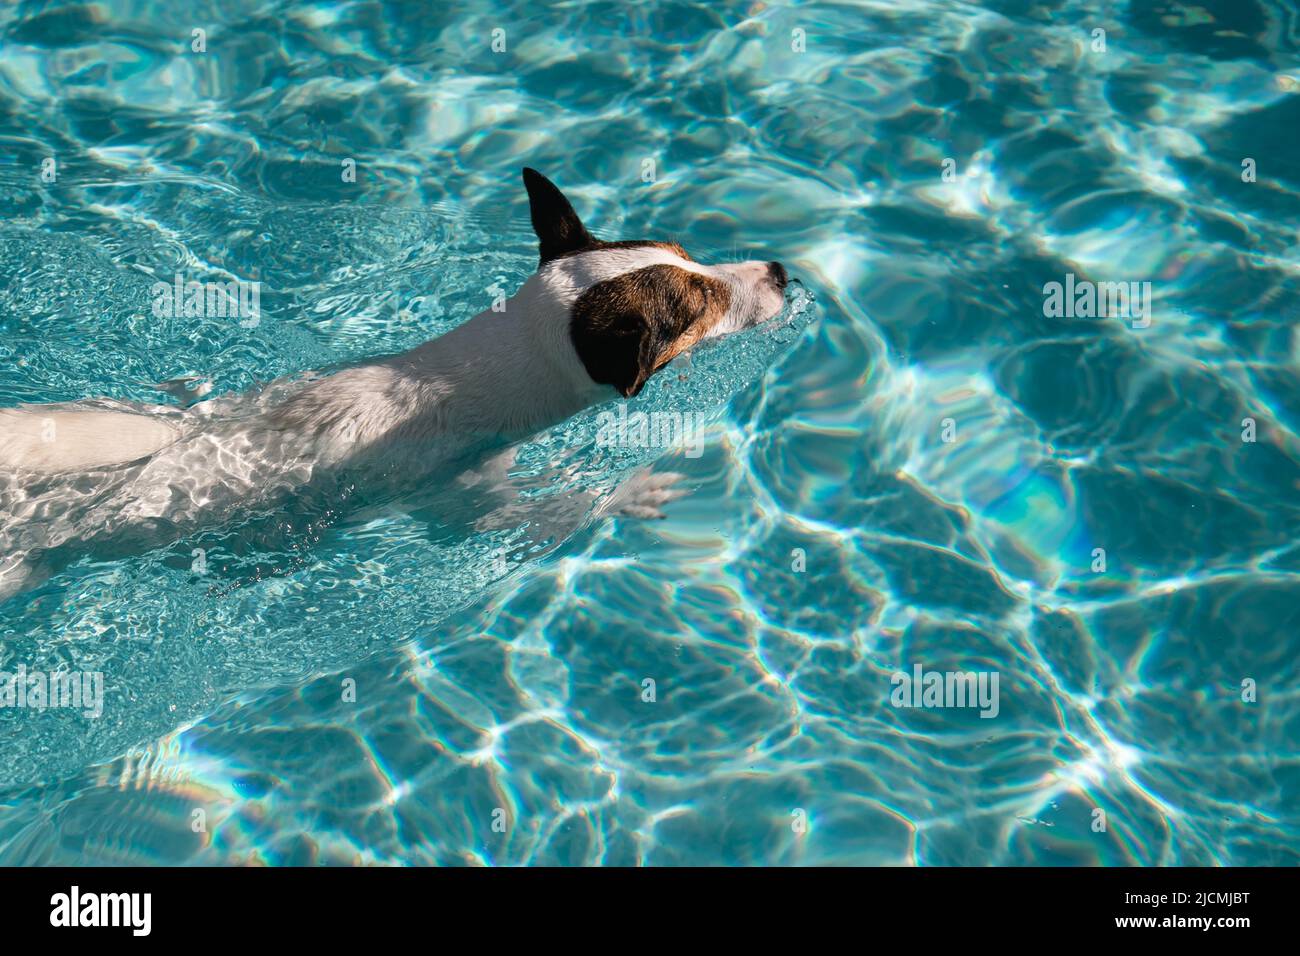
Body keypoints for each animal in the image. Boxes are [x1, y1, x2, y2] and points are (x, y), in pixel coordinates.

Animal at [0, 164, 790, 598]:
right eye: (698, 309)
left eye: (690, 253)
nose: (781, 271)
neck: (444, 377)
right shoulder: (462, 500)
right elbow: (553, 515)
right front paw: (626, 493)